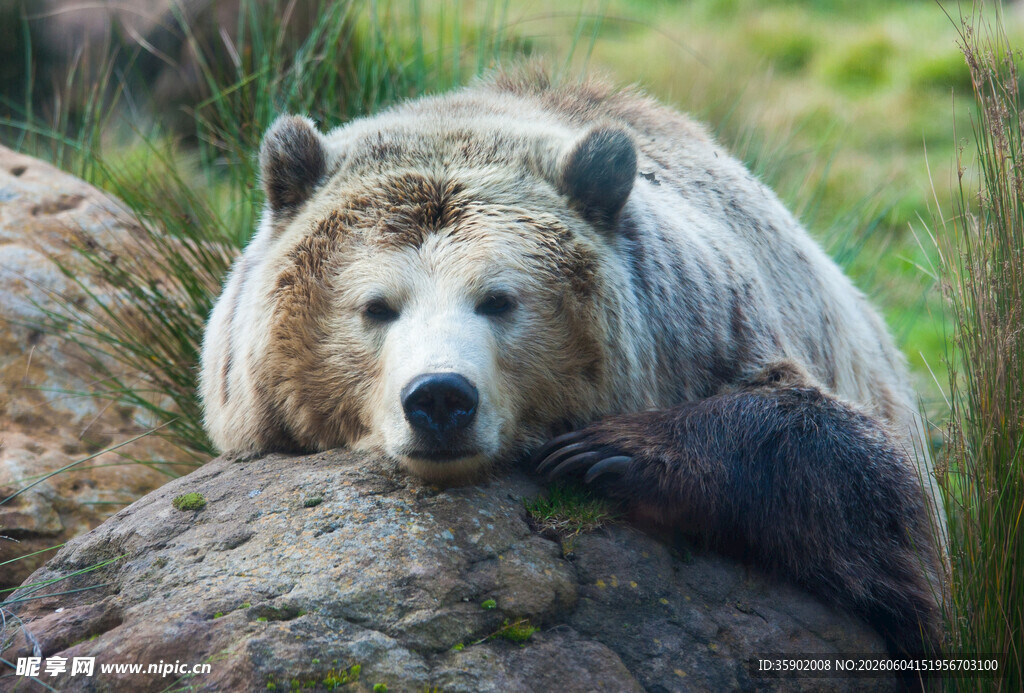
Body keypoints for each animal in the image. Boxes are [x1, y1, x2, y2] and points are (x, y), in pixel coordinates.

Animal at [199, 69, 945, 666]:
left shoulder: (721, 329)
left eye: (498, 299)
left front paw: (609, 452)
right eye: (377, 306)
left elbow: (871, 485)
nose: (439, 398)